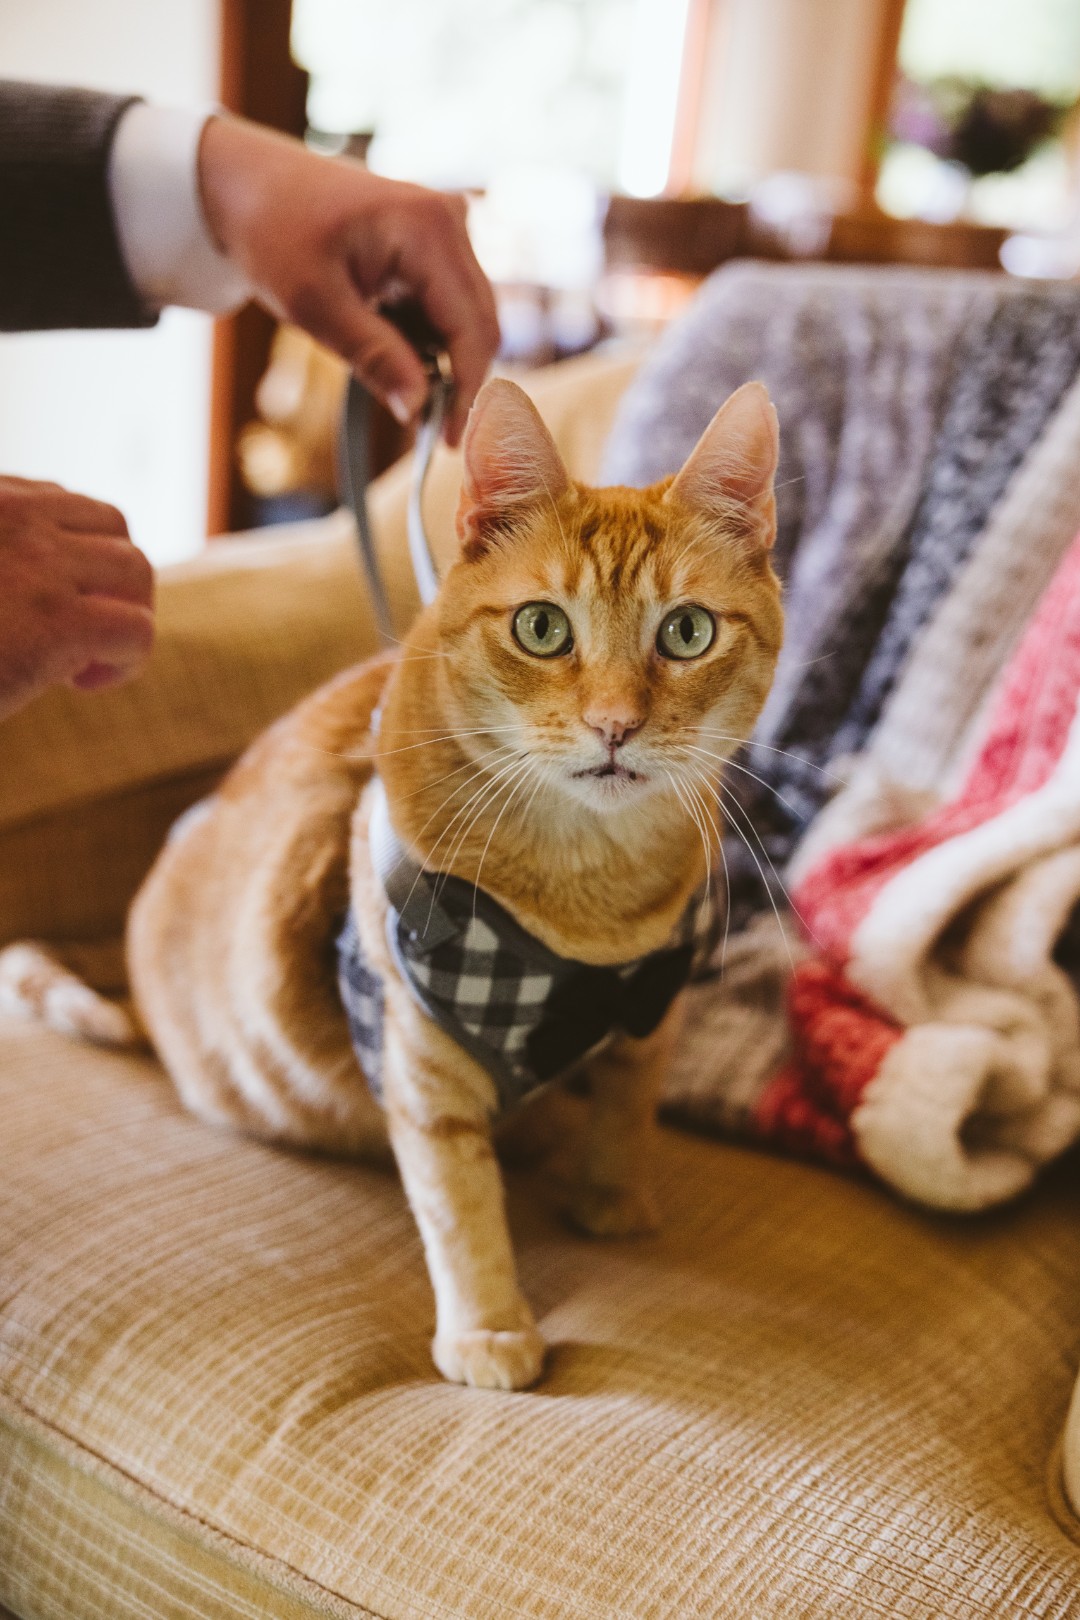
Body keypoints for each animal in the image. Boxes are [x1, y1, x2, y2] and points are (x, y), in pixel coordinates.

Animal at [0, 375, 777, 1393]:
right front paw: (490, 1329)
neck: (588, 920)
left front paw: (612, 1199)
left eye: (686, 632)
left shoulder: (653, 1005)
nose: (615, 725)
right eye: (542, 628)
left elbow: (627, 1105)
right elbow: (460, 1206)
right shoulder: (418, 1055)